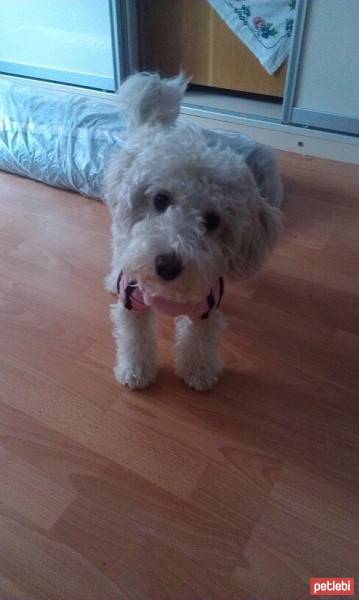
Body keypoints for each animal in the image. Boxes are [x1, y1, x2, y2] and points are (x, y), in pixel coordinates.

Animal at [105, 72, 282, 392]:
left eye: (212, 221)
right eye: (160, 199)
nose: (166, 264)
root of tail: (154, 127)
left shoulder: (206, 308)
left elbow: (199, 340)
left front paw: (199, 371)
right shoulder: (132, 303)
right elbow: (135, 339)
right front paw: (136, 371)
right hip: (120, 223)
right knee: (119, 248)